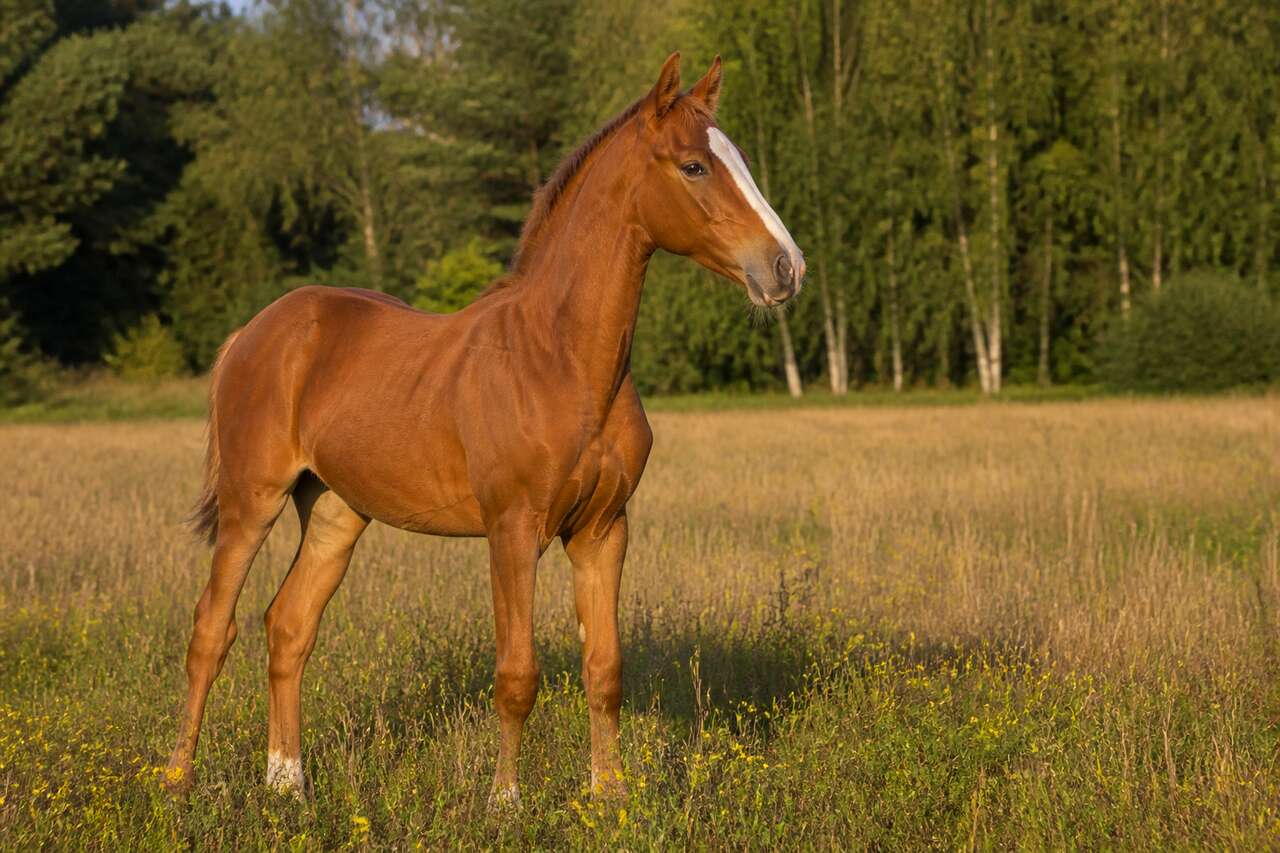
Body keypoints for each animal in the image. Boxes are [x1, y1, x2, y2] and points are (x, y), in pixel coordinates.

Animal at [163, 51, 804, 805]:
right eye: (694, 165)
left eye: (740, 160)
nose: (786, 267)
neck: (561, 359)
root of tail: (254, 332)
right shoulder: (513, 528)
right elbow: (517, 673)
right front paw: (505, 801)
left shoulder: (603, 531)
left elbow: (605, 668)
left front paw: (609, 796)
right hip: (252, 500)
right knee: (212, 628)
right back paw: (176, 780)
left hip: (335, 512)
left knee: (288, 625)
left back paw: (287, 783)